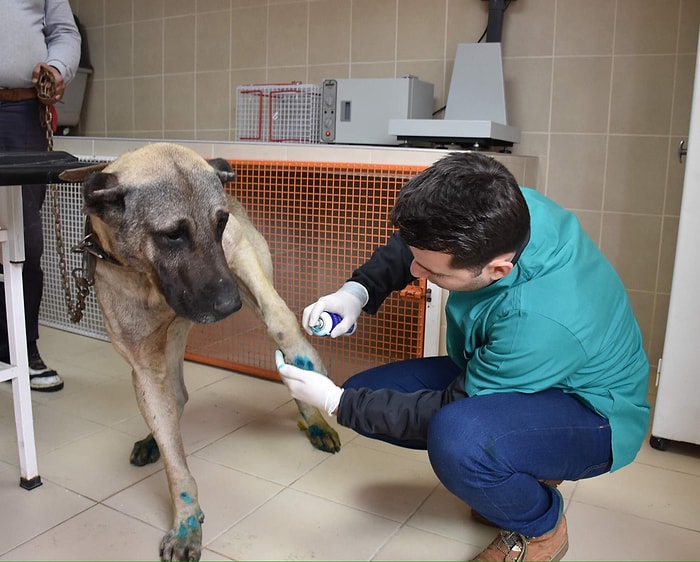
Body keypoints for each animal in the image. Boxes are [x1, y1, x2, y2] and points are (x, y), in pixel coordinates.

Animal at [61, 143, 340, 560]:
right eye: (172, 235)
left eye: (220, 222)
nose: (229, 306)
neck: (149, 278)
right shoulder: (146, 366)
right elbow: (175, 461)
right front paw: (186, 522)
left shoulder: (238, 261)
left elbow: (285, 331)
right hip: (172, 344)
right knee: (176, 397)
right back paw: (153, 440)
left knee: (280, 330)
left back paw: (315, 418)